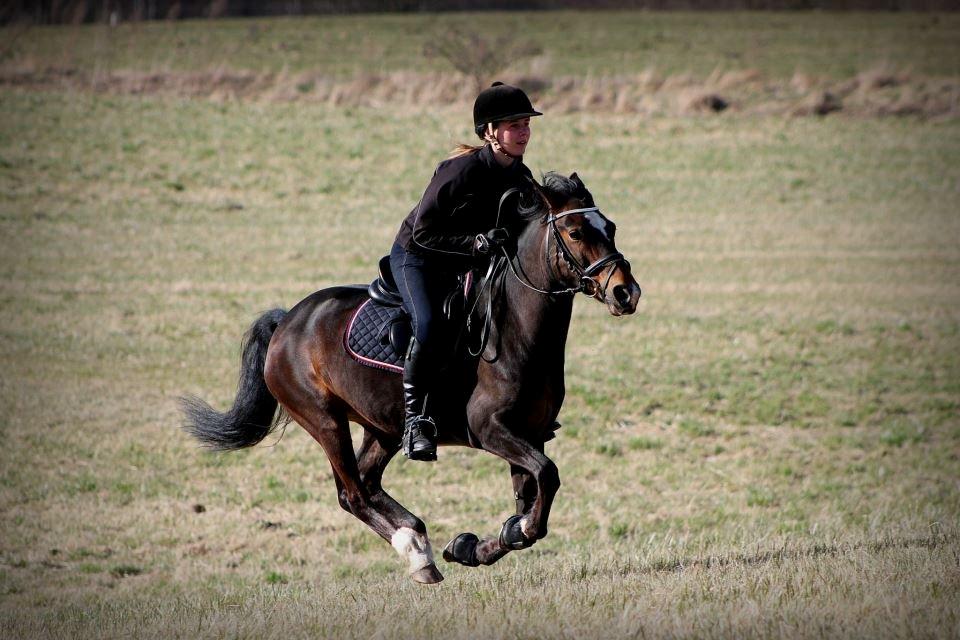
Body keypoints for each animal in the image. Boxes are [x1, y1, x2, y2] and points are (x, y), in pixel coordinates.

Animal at [183, 171, 640, 584]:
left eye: (611, 228)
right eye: (575, 232)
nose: (626, 292)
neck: (518, 330)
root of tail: (286, 322)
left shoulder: (530, 432)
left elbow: (529, 502)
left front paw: (473, 547)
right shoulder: (489, 429)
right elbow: (546, 479)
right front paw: (492, 538)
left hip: (383, 426)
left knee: (365, 484)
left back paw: (419, 540)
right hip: (324, 419)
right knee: (352, 493)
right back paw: (415, 552)